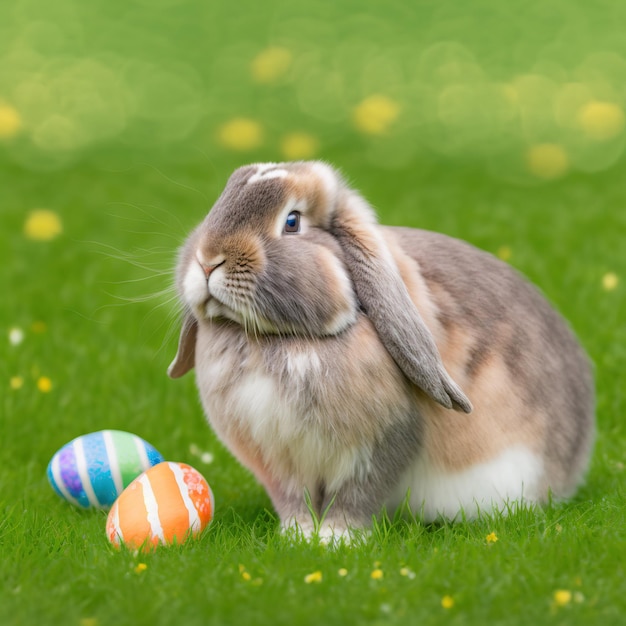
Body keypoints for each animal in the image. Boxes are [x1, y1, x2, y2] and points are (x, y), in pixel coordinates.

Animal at [168, 161, 592, 536]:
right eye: (220, 202)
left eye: (292, 222)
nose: (208, 261)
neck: (282, 340)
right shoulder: (276, 461)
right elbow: (293, 501)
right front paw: (299, 535)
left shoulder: (386, 441)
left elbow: (357, 496)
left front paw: (335, 539)